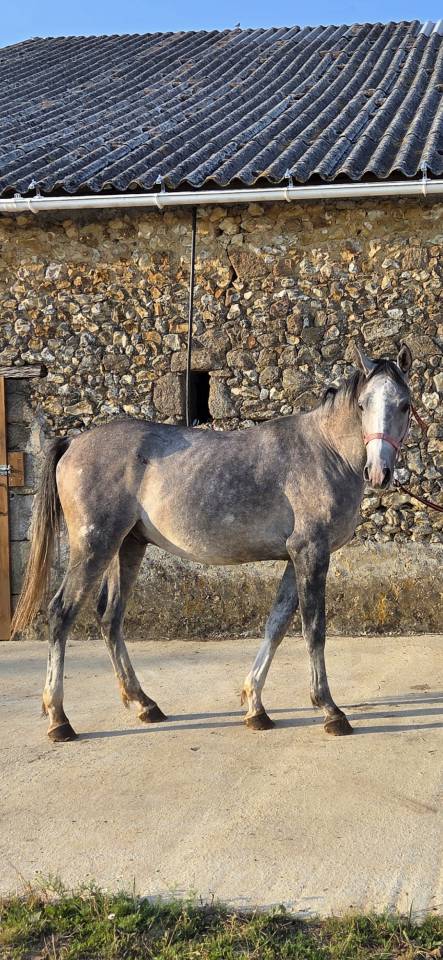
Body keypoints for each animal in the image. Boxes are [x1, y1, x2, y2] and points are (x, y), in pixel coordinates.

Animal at [12, 344, 413, 742]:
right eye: (363, 404)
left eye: (405, 404)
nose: (379, 472)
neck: (325, 451)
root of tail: (74, 441)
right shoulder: (311, 553)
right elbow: (314, 629)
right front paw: (329, 710)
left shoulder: (294, 558)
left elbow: (277, 624)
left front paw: (255, 706)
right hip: (94, 546)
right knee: (61, 612)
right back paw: (59, 719)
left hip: (128, 546)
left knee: (110, 616)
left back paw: (144, 704)